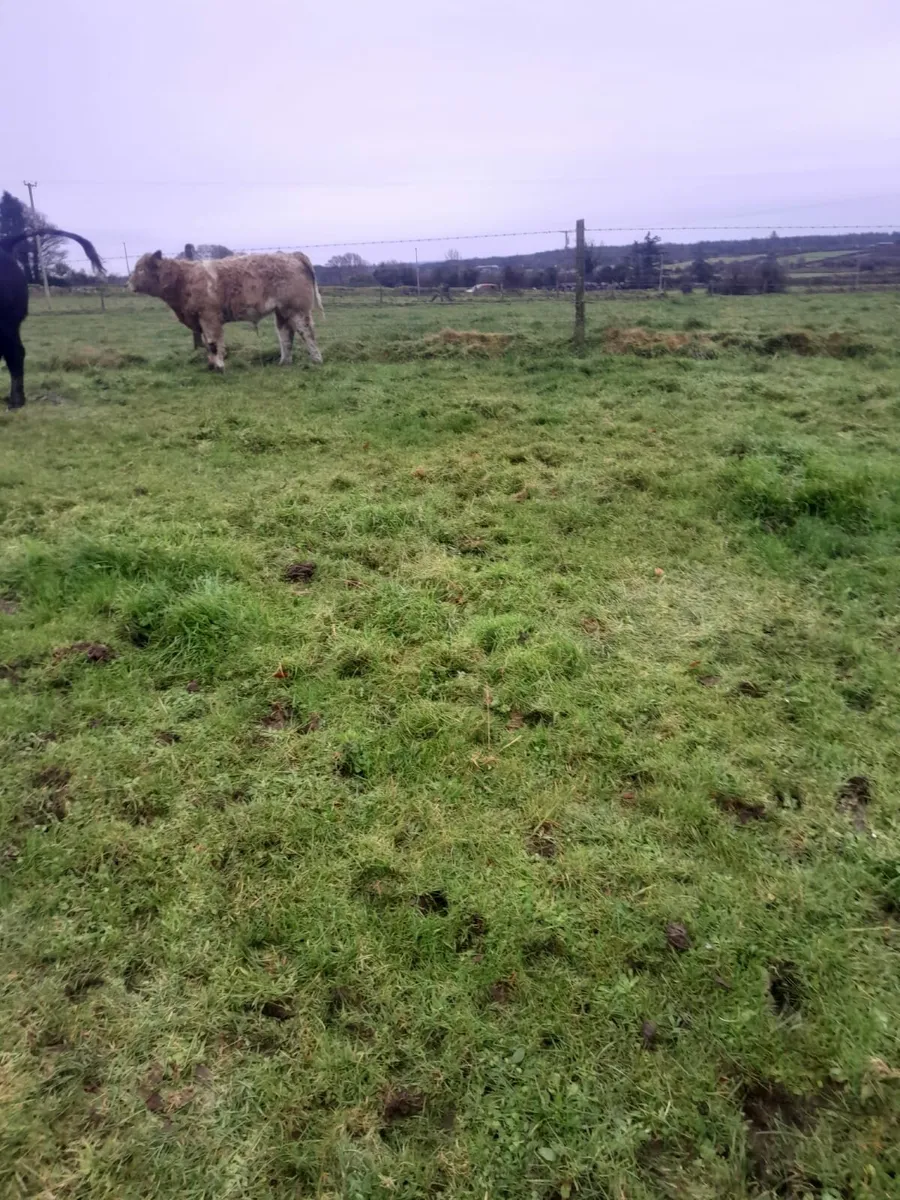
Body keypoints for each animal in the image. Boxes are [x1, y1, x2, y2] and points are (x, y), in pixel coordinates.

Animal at [129, 250, 324, 370]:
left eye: (141, 269)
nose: (128, 284)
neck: (185, 278)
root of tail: (292, 255)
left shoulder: (209, 317)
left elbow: (214, 343)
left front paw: (219, 366)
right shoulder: (201, 320)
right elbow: (207, 343)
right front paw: (211, 365)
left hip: (297, 309)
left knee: (306, 332)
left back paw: (316, 360)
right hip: (282, 311)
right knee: (285, 335)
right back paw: (284, 362)